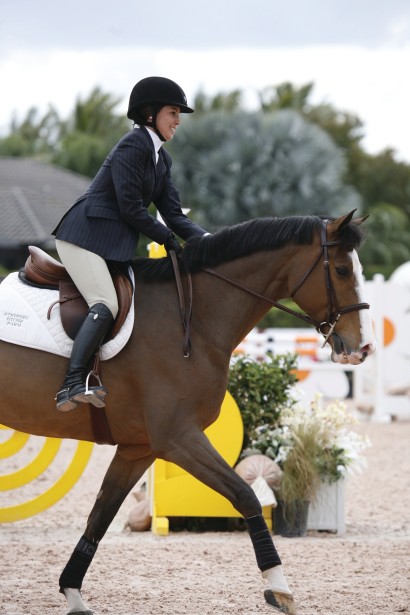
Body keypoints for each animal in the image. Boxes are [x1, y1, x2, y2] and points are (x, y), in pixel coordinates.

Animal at [0, 212, 374, 615]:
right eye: (341, 270)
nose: (364, 348)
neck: (195, 319)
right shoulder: (178, 438)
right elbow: (245, 494)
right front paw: (279, 586)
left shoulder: (139, 448)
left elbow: (100, 517)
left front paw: (72, 594)